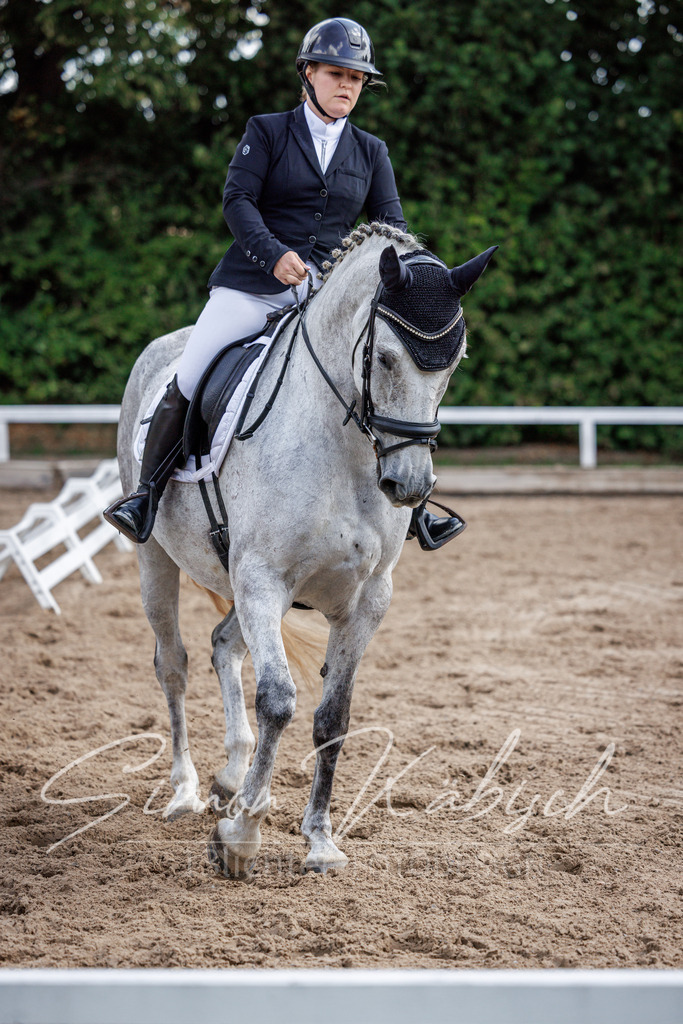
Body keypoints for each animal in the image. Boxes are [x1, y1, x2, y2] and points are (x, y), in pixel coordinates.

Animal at [116, 222, 496, 876]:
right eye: (385, 357)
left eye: (453, 365)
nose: (410, 486)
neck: (342, 447)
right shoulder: (263, 579)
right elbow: (278, 701)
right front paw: (242, 835)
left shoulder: (366, 600)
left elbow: (332, 717)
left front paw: (318, 838)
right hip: (158, 562)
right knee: (174, 664)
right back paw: (186, 790)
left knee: (222, 646)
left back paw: (230, 775)